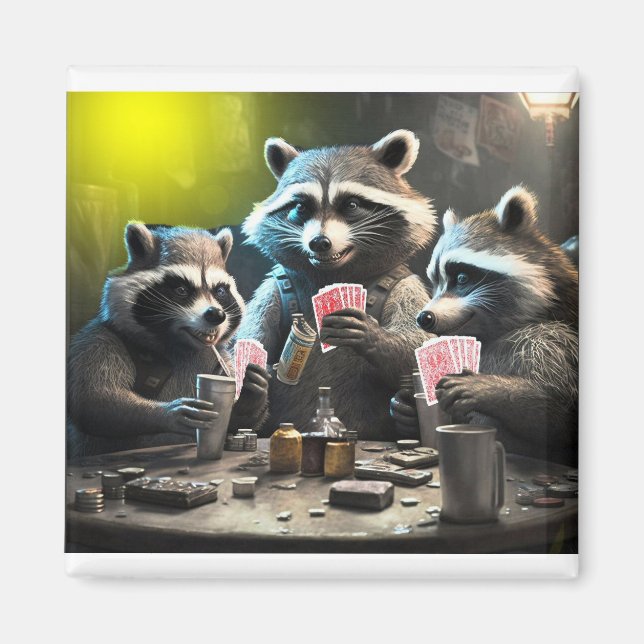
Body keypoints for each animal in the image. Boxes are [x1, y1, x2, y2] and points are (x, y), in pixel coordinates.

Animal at [67, 223, 270, 458]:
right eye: (181, 290)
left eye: (219, 291)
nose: (216, 315)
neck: (180, 346)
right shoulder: (99, 340)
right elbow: (94, 402)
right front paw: (167, 413)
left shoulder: (220, 357)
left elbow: (236, 420)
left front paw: (251, 394)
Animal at [237, 130, 437, 440]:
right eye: (300, 207)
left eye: (351, 205)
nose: (319, 242)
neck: (330, 276)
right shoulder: (275, 287)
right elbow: (250, 336)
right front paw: (248, 385)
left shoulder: (404, 285)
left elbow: (419, 349)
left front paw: (370, 334)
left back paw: (408, 417)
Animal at [392, 186, 578, 464]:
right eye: (435, 281)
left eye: (461, 278)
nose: (424, 317)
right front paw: (406, 410)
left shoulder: (556, 340)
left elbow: (561, 419)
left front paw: (491, 388)